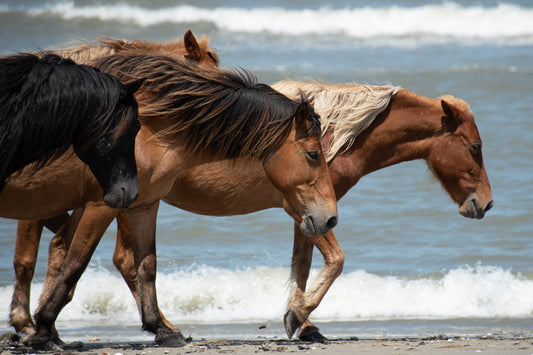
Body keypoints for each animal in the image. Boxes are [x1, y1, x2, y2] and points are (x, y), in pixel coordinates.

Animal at [10, 81, 492, 344]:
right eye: (474, 147)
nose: (485, 204)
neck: (331, 138)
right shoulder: (310, 210)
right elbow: (334, 261)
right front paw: (298, 318)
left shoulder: (309, 214)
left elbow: (302, 265)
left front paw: (302, 323)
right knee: (117, 259)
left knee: (66, 247)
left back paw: (45, 328)